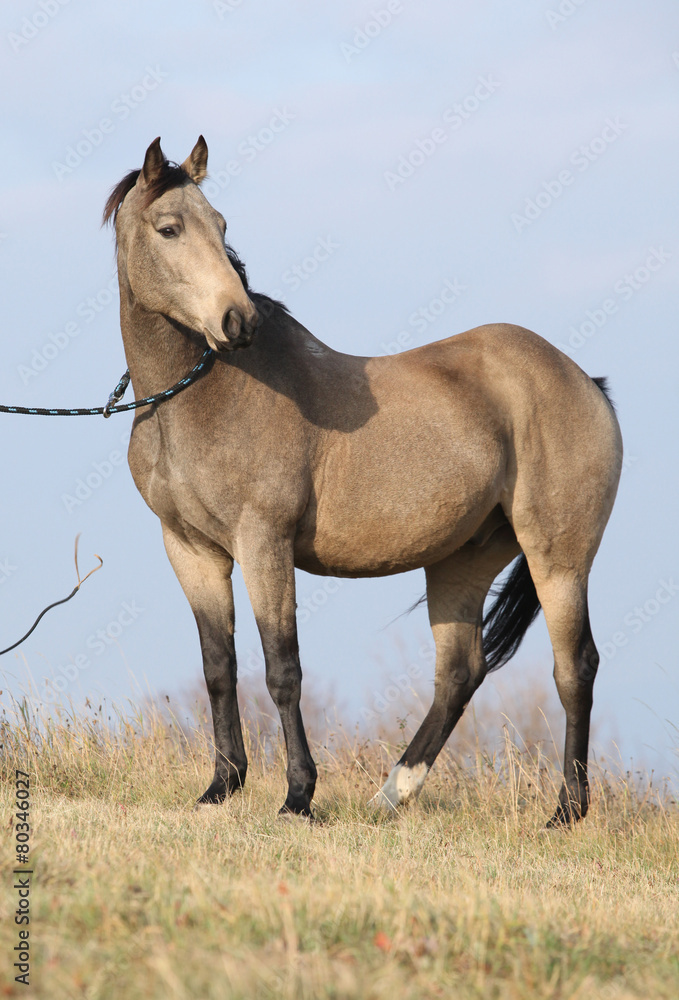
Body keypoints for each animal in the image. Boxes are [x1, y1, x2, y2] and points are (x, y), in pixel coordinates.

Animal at [104, 136, 622, 826]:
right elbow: (219, 666)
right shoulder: (191, 549)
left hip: (559, 558)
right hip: (464, 559)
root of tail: (583, 380)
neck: (203, 398)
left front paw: (297, 796)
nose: (239, 322)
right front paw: (221, 786)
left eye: (221, 227)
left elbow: (282, 670)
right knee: (460, 673)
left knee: (575, 667)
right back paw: (391, 794)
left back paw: (565, 810)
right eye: (169, 228)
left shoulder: (263, 544)